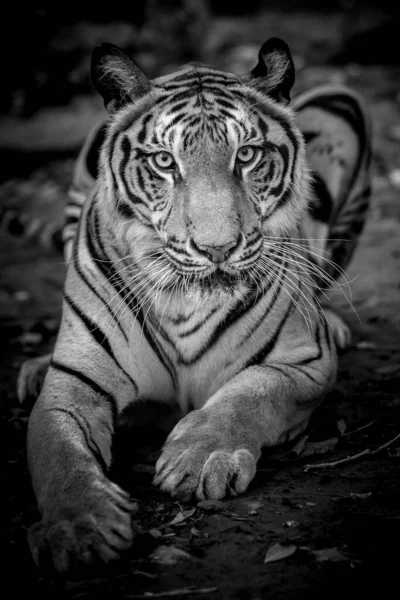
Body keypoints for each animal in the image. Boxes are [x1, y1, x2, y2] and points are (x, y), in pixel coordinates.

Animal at [23, 39, 370, 568]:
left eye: (246, 155)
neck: (183, 302)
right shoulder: (74, 383)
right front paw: (79, 525)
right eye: (165, 162)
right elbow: (58, 451)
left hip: (342, 101)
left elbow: (249, 393)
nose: (217, 249)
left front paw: (199, 456)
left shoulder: (306, 362)